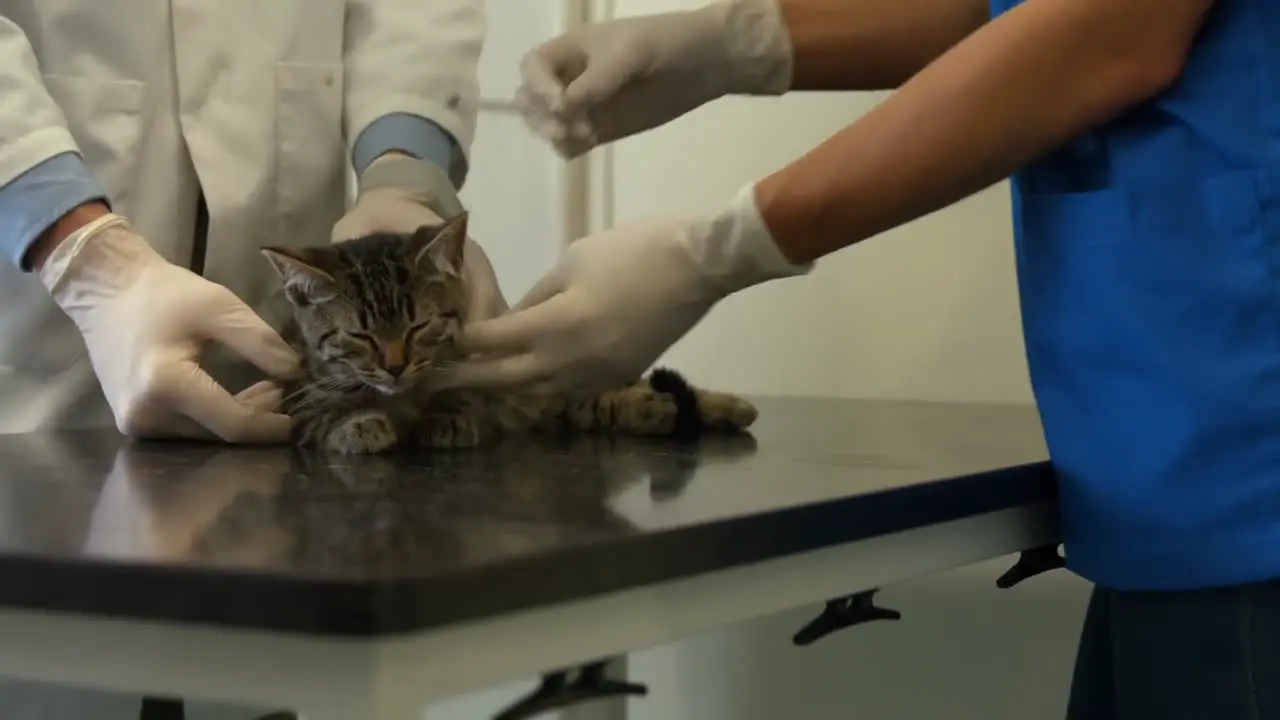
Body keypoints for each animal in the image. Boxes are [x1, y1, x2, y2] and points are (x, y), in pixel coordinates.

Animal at [262, 210, 757, 450]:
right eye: (361, 338)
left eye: (418, 327)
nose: (397, 368)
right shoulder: (295, 398)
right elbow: (323, 413)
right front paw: (359, 423)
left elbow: (463, 396)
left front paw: (448, 415)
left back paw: (723, 406)